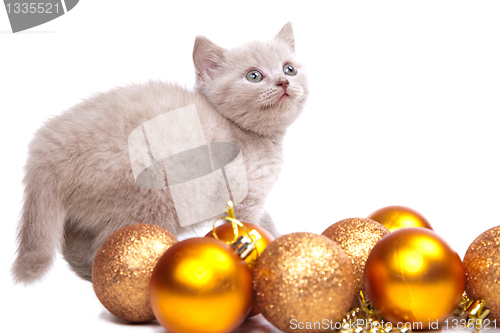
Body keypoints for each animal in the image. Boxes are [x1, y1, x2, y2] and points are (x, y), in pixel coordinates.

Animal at [12, 22, 308, 282]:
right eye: (253, 76)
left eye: (290, 68)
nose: (283, 82)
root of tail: (47, 149)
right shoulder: (244, 197)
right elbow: (247, 229)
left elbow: (265, 224)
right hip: (154, 194)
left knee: (76, 245)